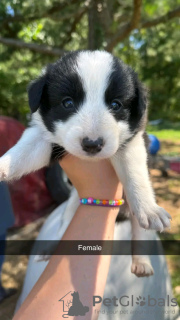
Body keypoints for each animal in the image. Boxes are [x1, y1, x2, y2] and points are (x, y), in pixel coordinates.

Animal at [0, 51, 171, 276]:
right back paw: (50, 248)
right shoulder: (46, 139)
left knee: (139, 231)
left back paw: (142, 262)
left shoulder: (132, 142)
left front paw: (149, 208)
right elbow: (22, 153)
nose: (92, 144)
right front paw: (2, 166)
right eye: (67, 103)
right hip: (73, 204)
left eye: (116, 105)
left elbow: (135, 174)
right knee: (64, 225)